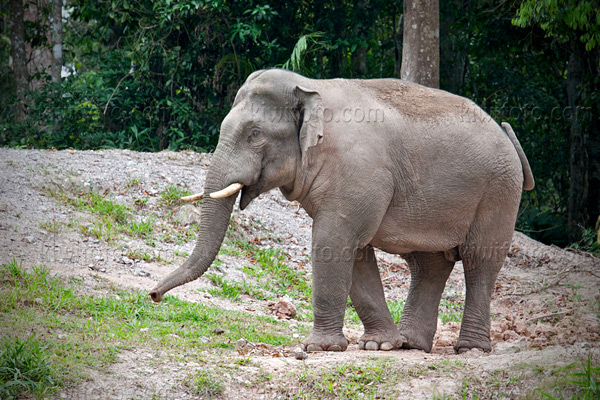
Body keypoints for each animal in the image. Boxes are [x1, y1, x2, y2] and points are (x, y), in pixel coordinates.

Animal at [150, 69, 536, 354]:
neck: (311, 87)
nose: (153, 296)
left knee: (480, 261)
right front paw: (378, 346)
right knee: (428, 265)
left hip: (499, 192)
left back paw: (470, 349)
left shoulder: (358, 173)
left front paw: (318, 348)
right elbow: (355, 251)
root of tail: (506, 133)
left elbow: (332, 241)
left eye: (255, 133)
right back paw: (411, 345)